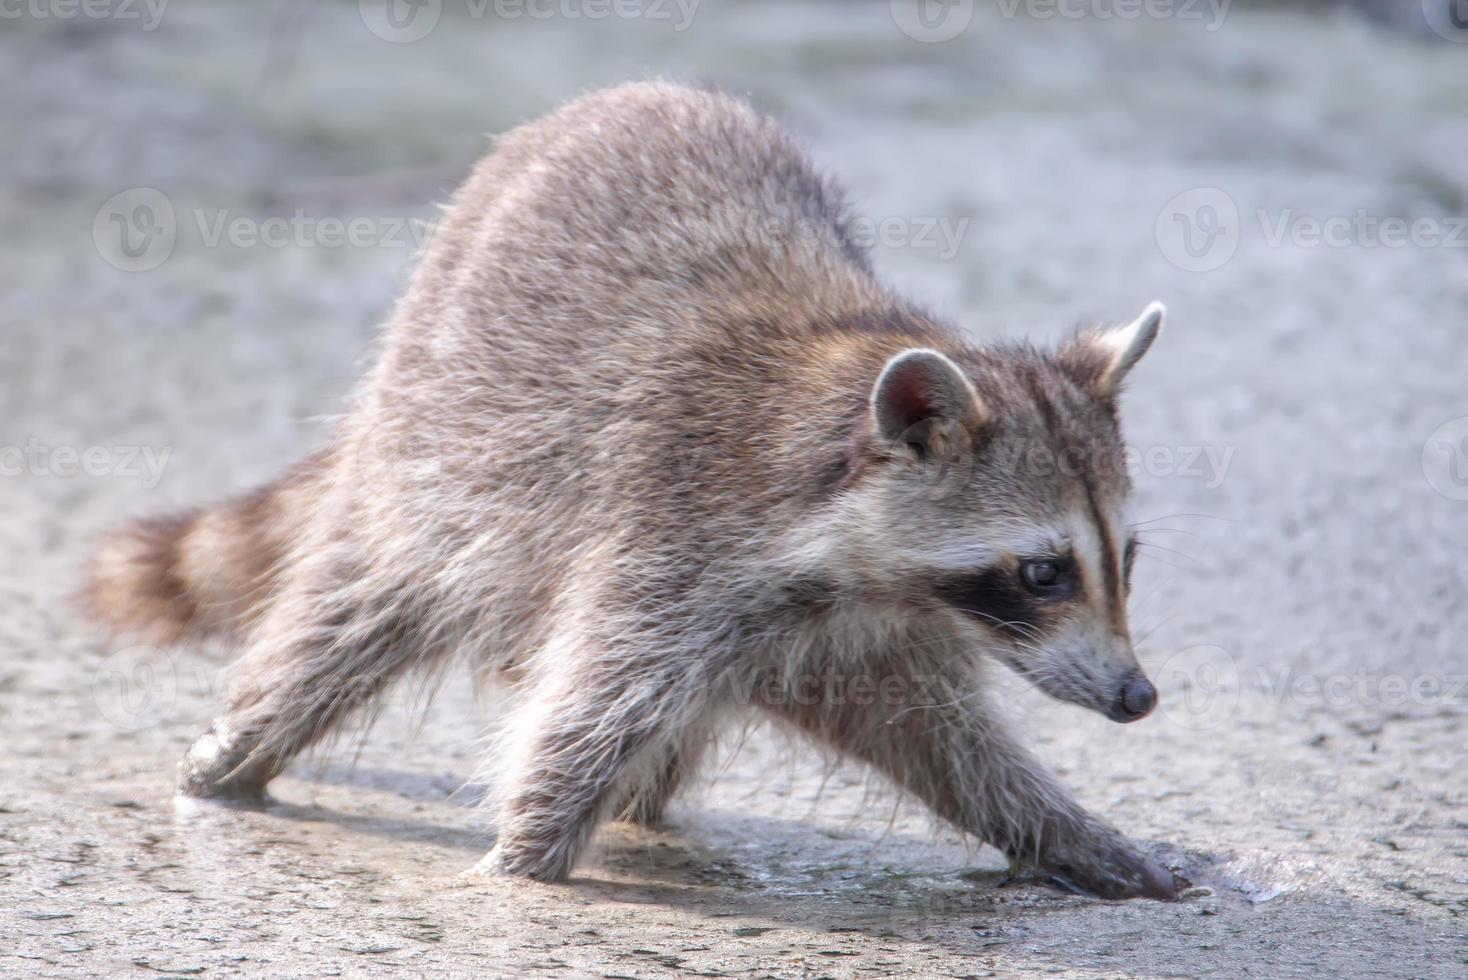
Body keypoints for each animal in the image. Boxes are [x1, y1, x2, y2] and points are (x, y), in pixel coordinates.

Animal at [85, 84, 1174, 903]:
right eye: (1043, 571)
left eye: (1124, 560)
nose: (1138, 697)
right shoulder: (669, 540)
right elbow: (584, 714)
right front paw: (520, 863)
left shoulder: (860, 630)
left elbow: (943, 741)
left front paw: (1056, 826)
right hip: (431, 445)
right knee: (347, 614)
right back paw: (240, 753)